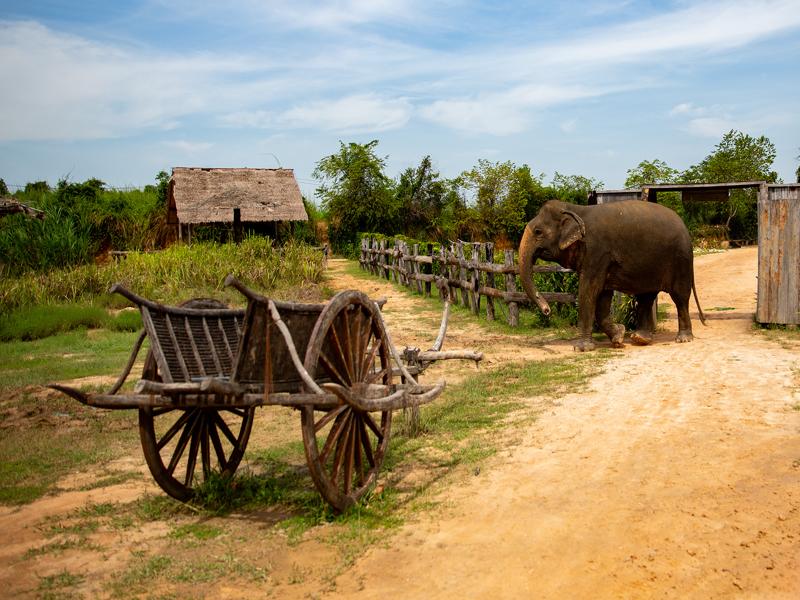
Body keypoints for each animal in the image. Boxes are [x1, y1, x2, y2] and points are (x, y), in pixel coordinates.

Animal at [518, 200, 705, 351]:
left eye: (538, 232)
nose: (547, 310)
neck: (576, 209)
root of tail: (684, 226)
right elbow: (602, 295)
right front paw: (618, 337)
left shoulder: (596, 251)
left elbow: (589, 290)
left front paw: (582, 348)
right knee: (646, 297)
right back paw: (640, 339)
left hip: (681, 258)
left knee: (680, 297)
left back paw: (683, 339)